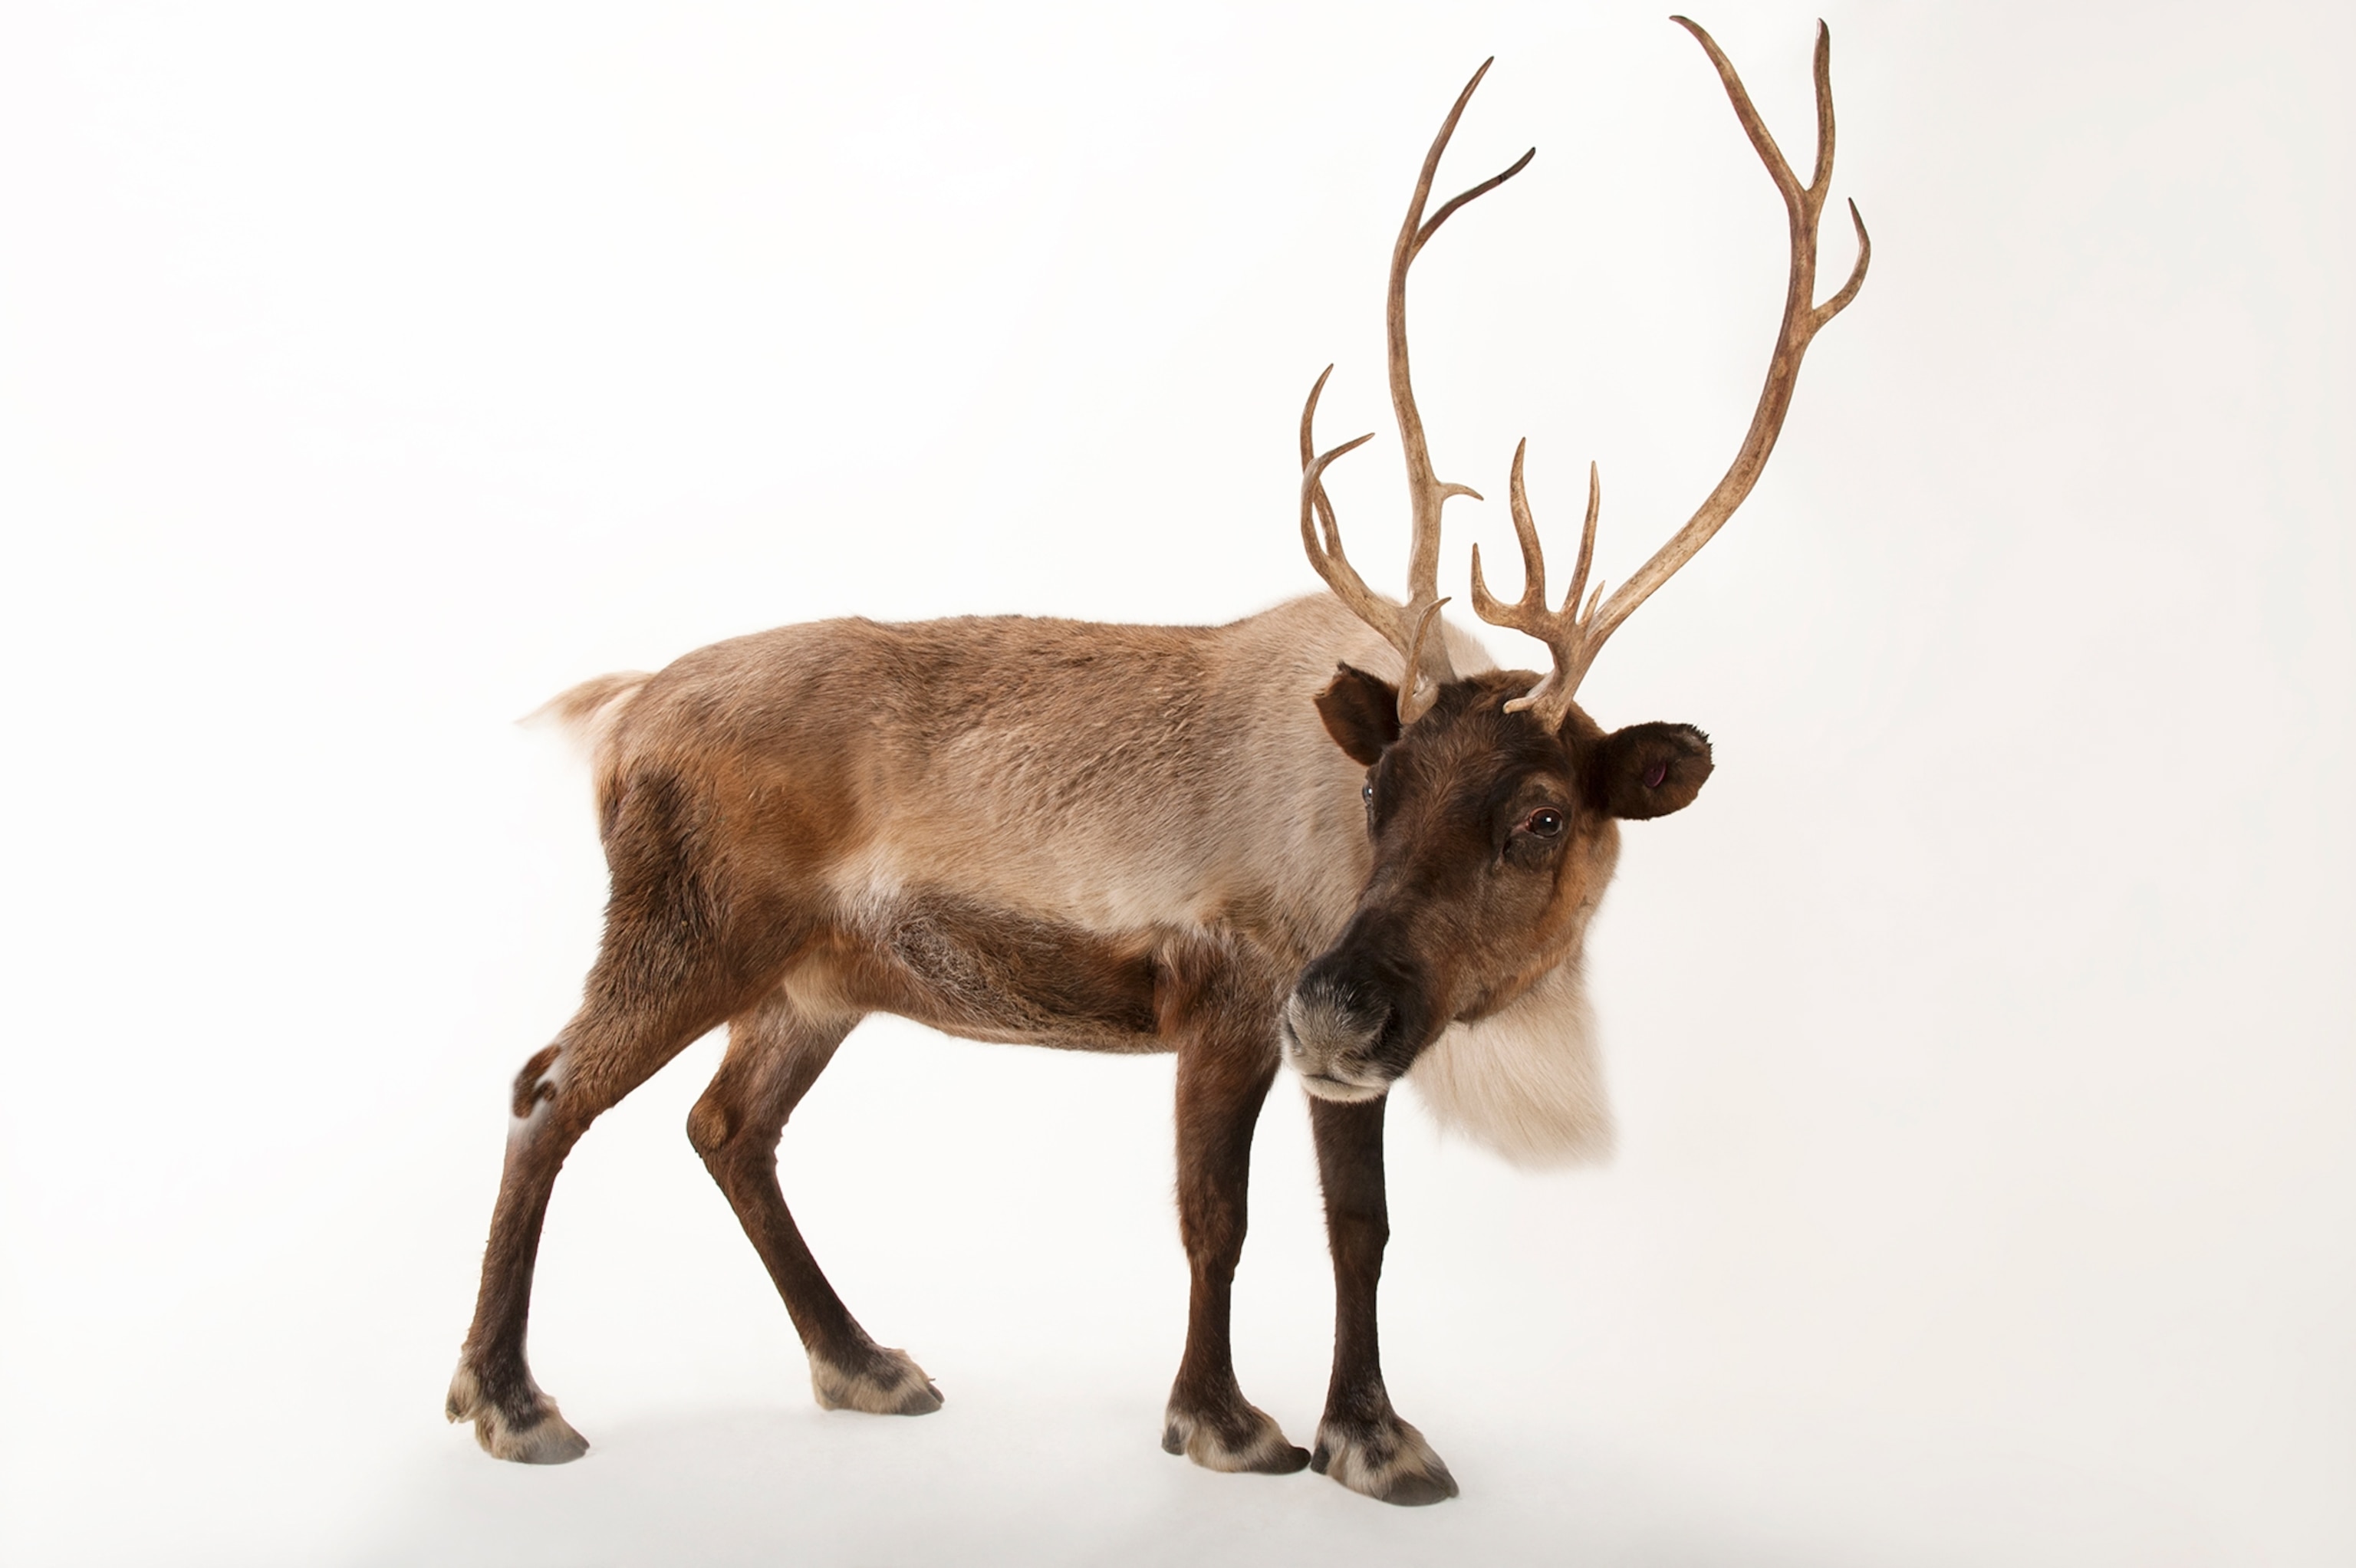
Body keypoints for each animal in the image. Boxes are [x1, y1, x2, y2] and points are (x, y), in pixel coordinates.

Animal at [446, 16, 1868, 1506]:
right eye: (1380, 790)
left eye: (1541, 816)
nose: (1342, 1004)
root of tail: (623, 708)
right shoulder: (1231, 992)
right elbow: (1215, 1216)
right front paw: (1224, 1422)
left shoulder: (1333, 1043)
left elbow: (1359, 1227)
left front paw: (1375, 1438)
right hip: (690, 928)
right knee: (548, 1088)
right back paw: (513, 1400)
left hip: (816, 979)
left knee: (727, 1127)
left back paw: (865, 1363)